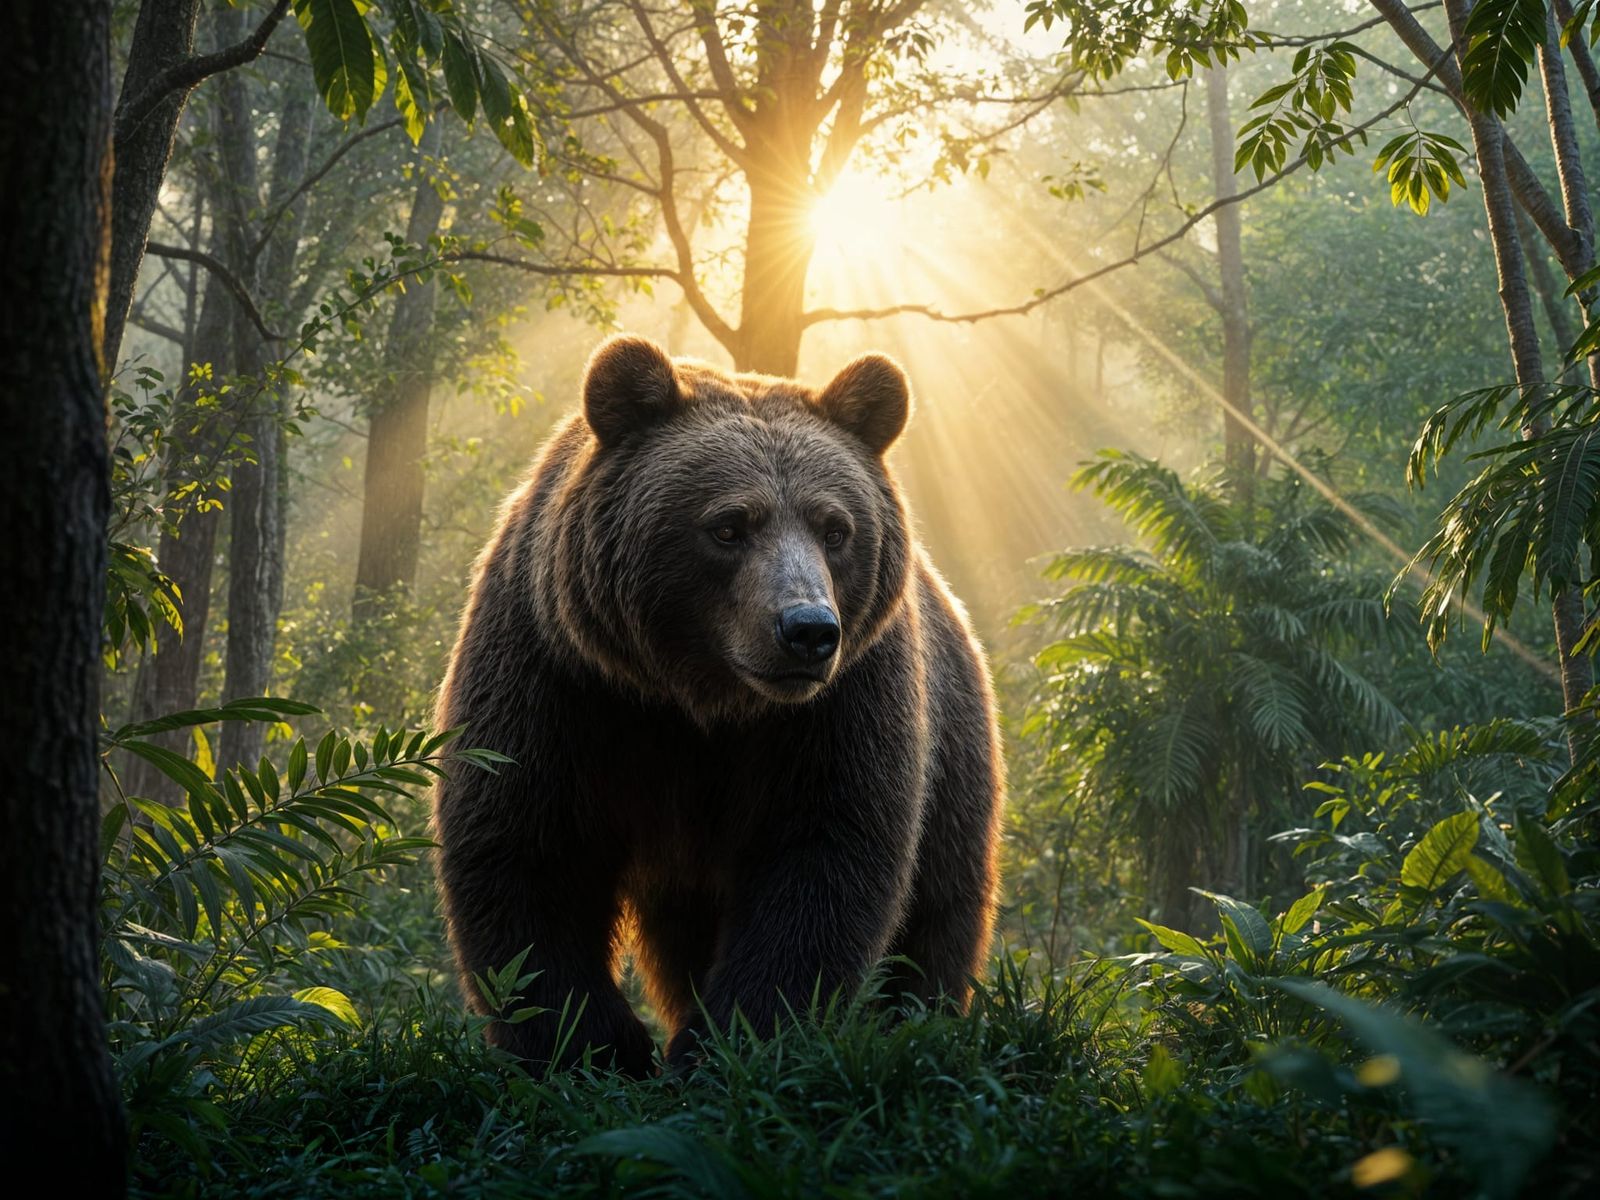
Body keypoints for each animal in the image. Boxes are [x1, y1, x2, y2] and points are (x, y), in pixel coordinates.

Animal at [432, 334, 1004, 1075]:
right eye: (730, 525)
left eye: (835, 528)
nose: (808, 630)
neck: (701, 699)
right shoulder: (560, 681)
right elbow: (527, 849)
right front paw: (591, 1046)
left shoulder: (841, 706)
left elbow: (823, 855)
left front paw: (730, 1043)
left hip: (955, 748)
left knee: (939, 904)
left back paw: (916, 1020)